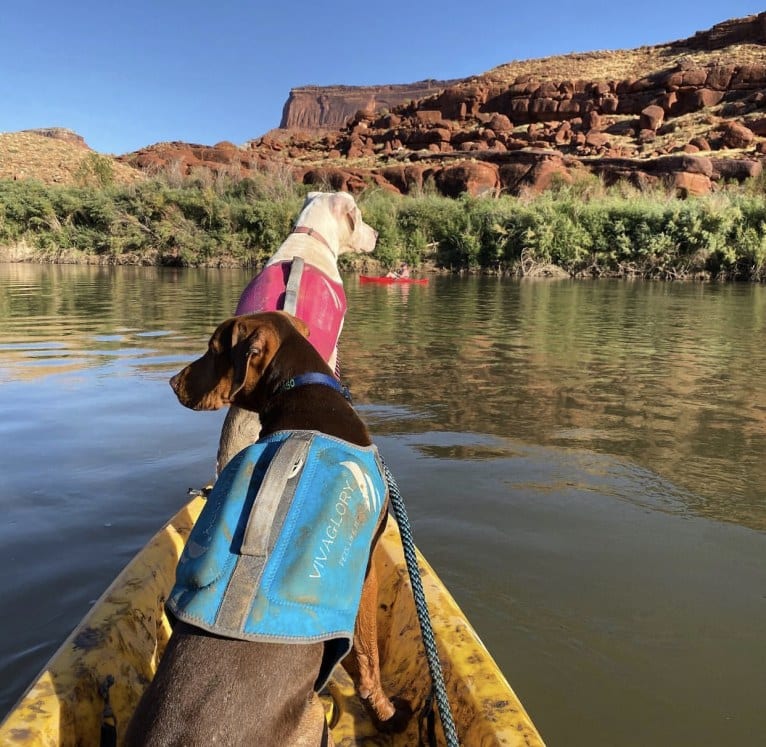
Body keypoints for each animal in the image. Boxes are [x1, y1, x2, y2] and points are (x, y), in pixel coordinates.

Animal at [126, 312, 412, 747]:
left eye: (213, 349)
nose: (173, 382)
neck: (303, 393)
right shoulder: (366, 575)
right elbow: (368, 660)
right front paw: (388, 716)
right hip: (311, 718)